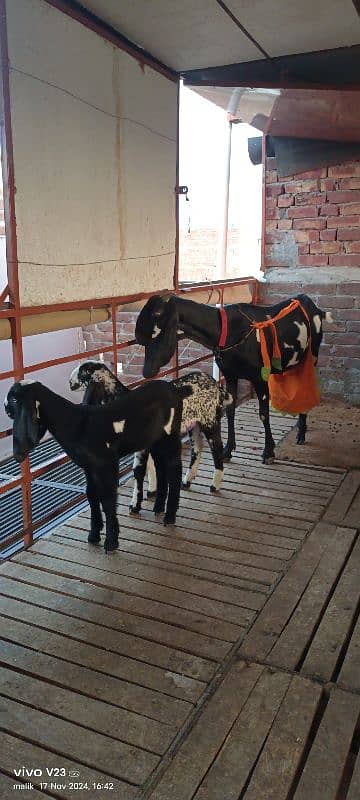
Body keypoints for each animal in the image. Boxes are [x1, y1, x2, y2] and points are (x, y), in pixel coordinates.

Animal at [4, 378, 191, 552]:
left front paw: (111, 541)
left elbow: (107, 499)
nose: (5, 408)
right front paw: (94, 534)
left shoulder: (106, 463)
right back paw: (158, 507)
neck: (76, 423)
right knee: (161, 467)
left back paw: (170, 516)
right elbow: (91, 494)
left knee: (174, 469)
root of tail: (176, 391)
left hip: (170, 435)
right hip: (156, 439)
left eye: (13, 398)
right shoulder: (89, 466)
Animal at [68, 360, 231, 516]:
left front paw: (135, 505)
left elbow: (138, 471)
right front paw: (152, 490)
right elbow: (150, 466)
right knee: (197, 448)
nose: (70, 383)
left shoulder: (142, 446)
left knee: (217, 449)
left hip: (210, 421)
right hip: (194, 423)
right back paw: (187, 480)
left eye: (83, 371)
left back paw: (214, 485)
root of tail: (216, 384)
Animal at [136, 296, 334, 466]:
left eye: (157, 327)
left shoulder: (259, 378)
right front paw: (227, 450)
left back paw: (301, 432)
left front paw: (268, 452)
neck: (226, 331)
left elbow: (264, 414)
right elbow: (230, 410)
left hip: (312, 355)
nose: (147, 372)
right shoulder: (230, 375)